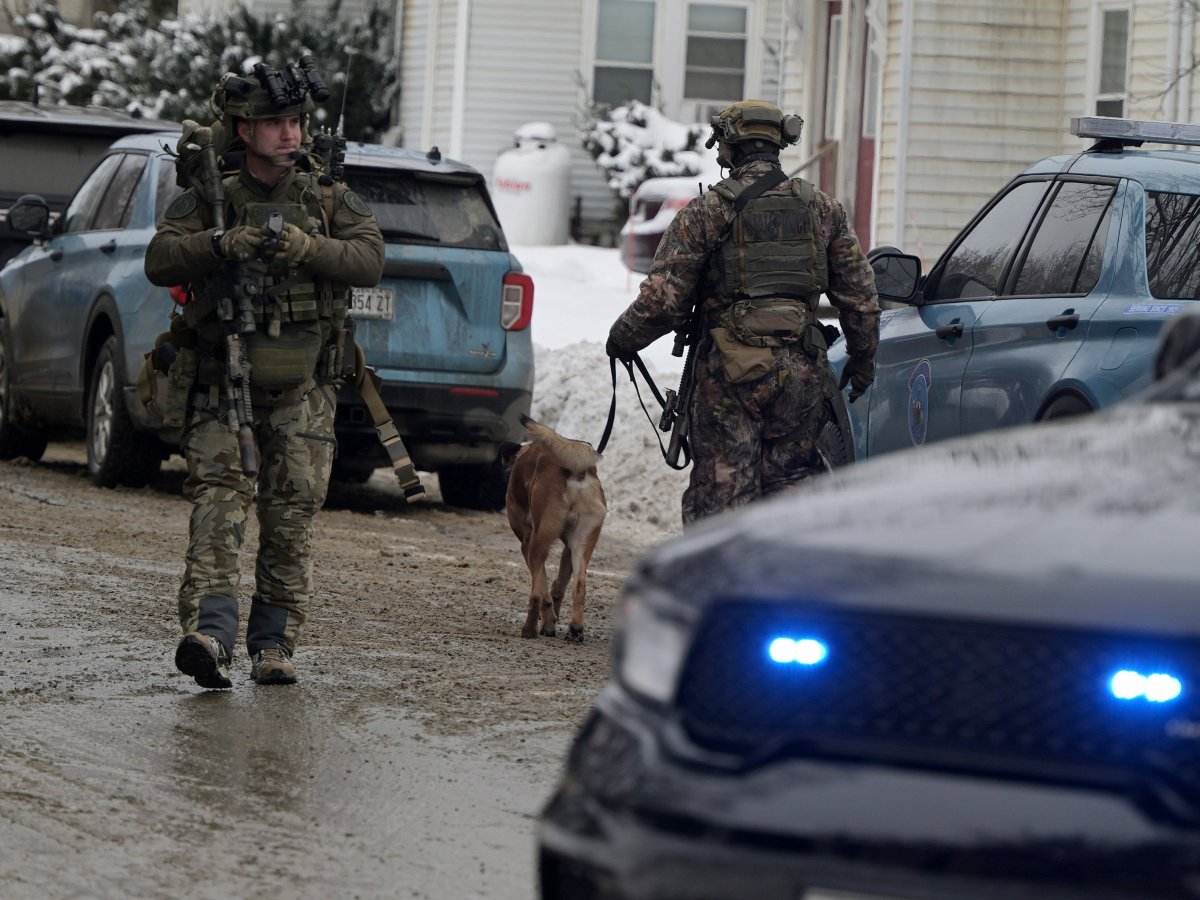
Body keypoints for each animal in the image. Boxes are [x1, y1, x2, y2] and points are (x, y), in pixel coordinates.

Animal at [499, 414, 607, 641]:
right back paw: (575, 629)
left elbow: (543, 587)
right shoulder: (568, 548)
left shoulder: (526, 542)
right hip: (582, 541)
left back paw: (530, 629)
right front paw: (554, 618)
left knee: (536, 594)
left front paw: (548, 623)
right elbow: (558, 586)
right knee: (580, 585)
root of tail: (575, 471)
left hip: (538, 541)